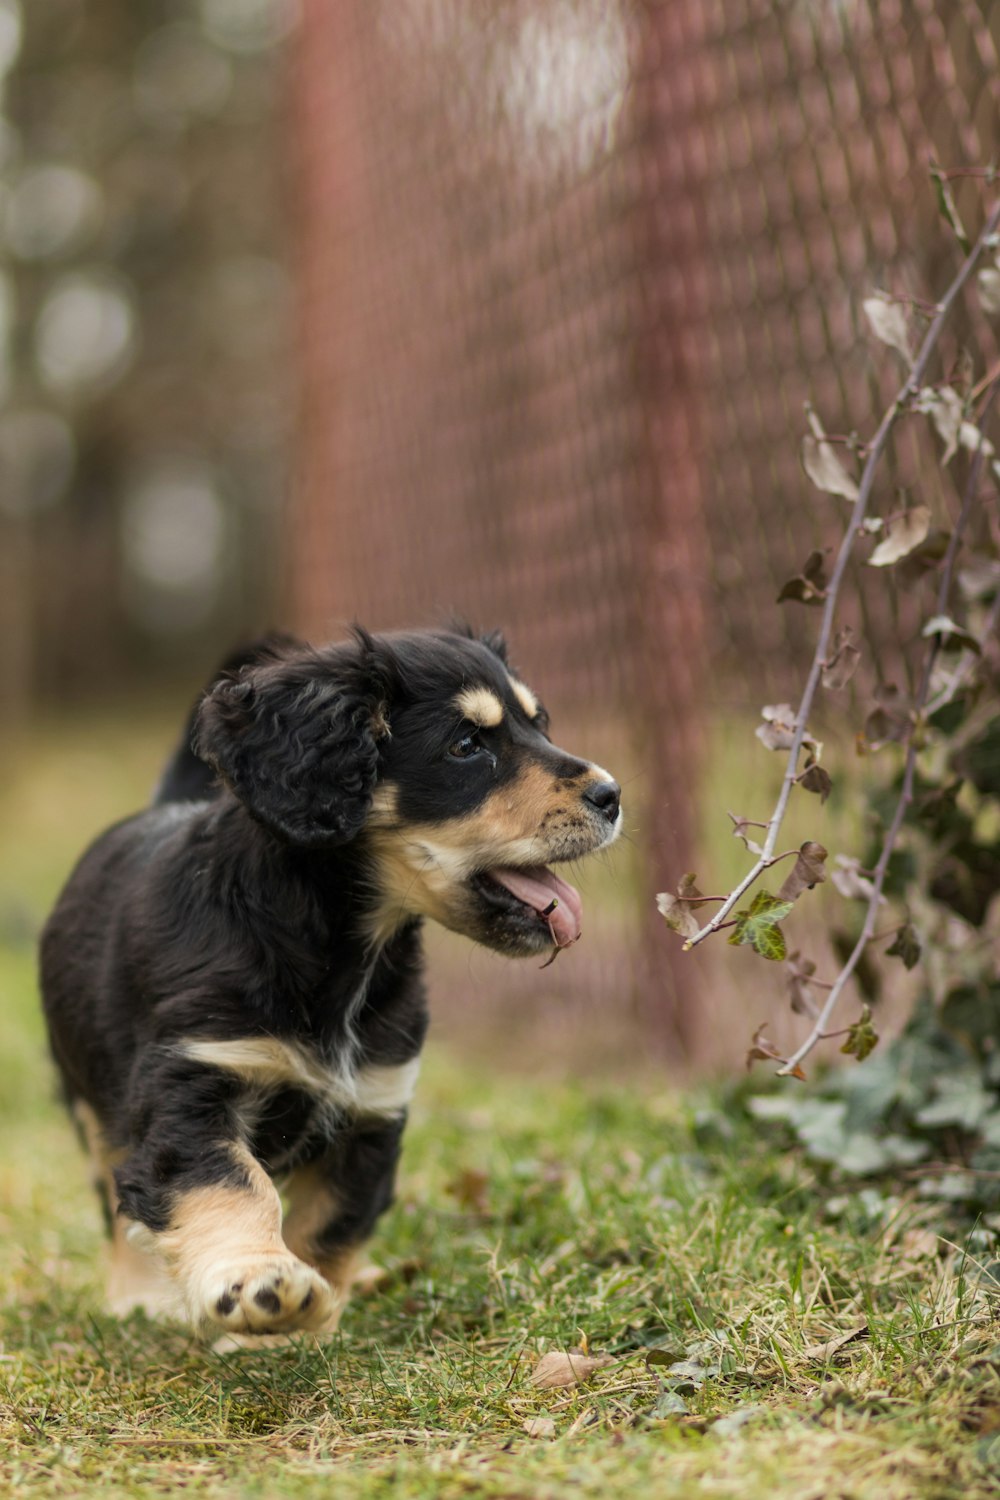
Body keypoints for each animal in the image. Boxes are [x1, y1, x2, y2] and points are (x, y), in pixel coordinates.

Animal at [43, 627, 620, 1344]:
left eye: (539, 724)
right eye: (466, 745)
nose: (613, 795)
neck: (334, 955)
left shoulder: (371, 1110)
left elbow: (330, 1226)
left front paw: (301, 1323)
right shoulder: (194, 1082)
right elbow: (230, 1185)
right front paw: (258, 1283)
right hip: (89, 1098)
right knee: (114, 1195)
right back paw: (139, 1297)